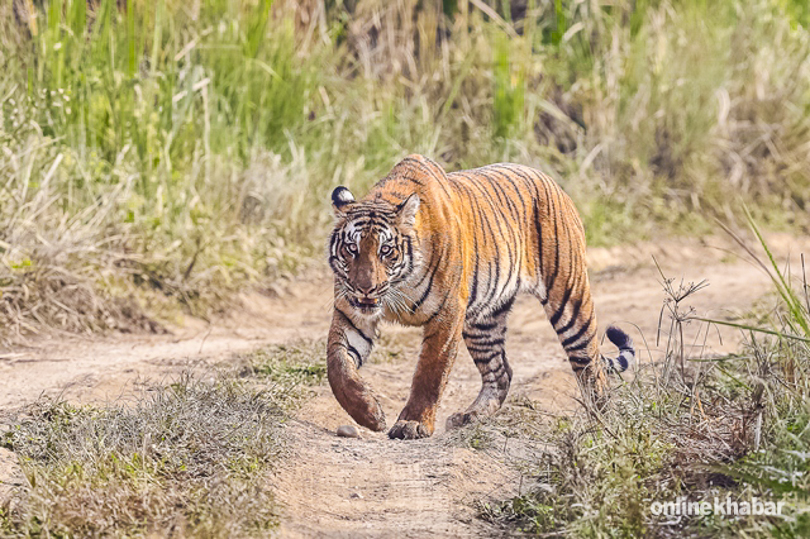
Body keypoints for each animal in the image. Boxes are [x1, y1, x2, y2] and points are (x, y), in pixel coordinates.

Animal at [326, 154, 636, 440]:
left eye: (386, 251)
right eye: (352, 249)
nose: (366, 288)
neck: (397, 287)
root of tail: (554, 184)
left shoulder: (447, 313)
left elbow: (430, 372)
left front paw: (411, 424)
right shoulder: (350, 312)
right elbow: (338, 366)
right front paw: (368, 414)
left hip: (570, 301)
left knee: (591, 366)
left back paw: (604, 427)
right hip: (483, 321)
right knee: (501, 372)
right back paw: (469, 416)